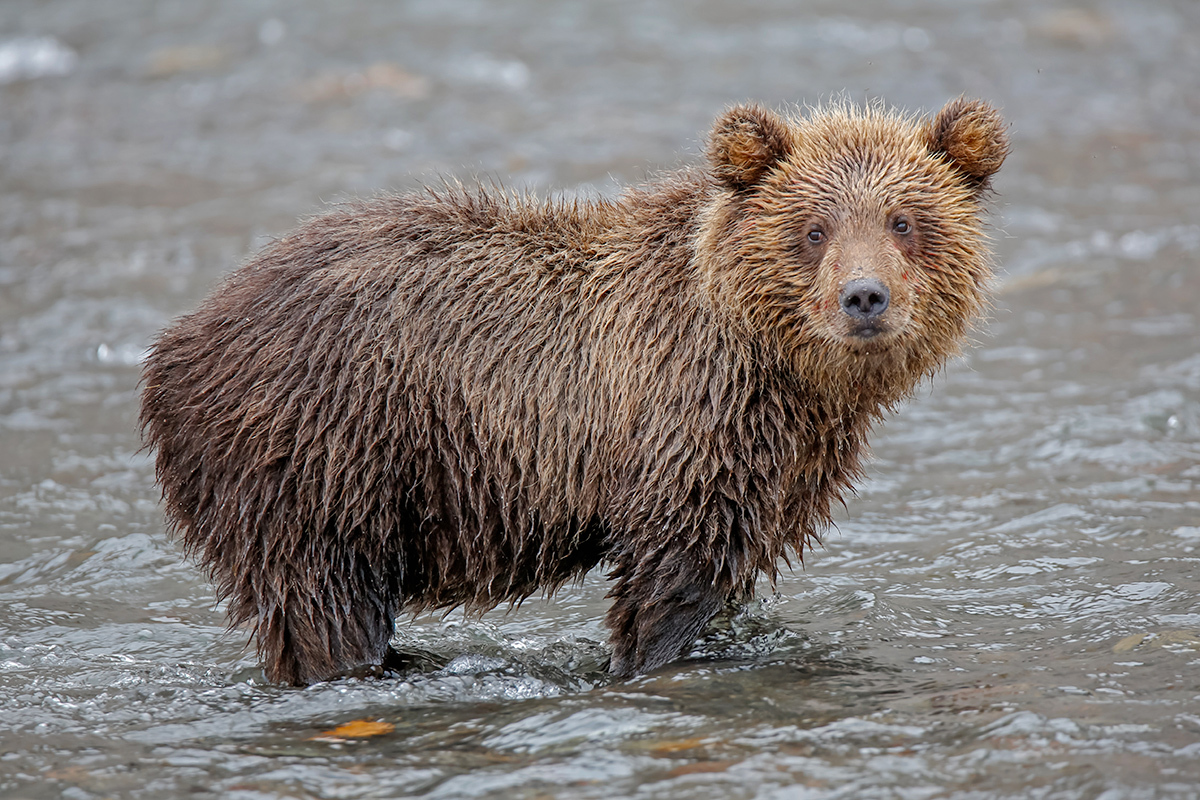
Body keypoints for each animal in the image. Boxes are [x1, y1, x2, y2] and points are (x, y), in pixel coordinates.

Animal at [138, 97, 1003, 686]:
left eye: (904, 220)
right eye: (814, 228)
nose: (864, 297)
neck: (777, 365)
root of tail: (176, 343)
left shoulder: (786, 455)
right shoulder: (686, 418)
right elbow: (674, 571)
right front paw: (648, 657)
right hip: (320, 452)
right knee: (324, 599)